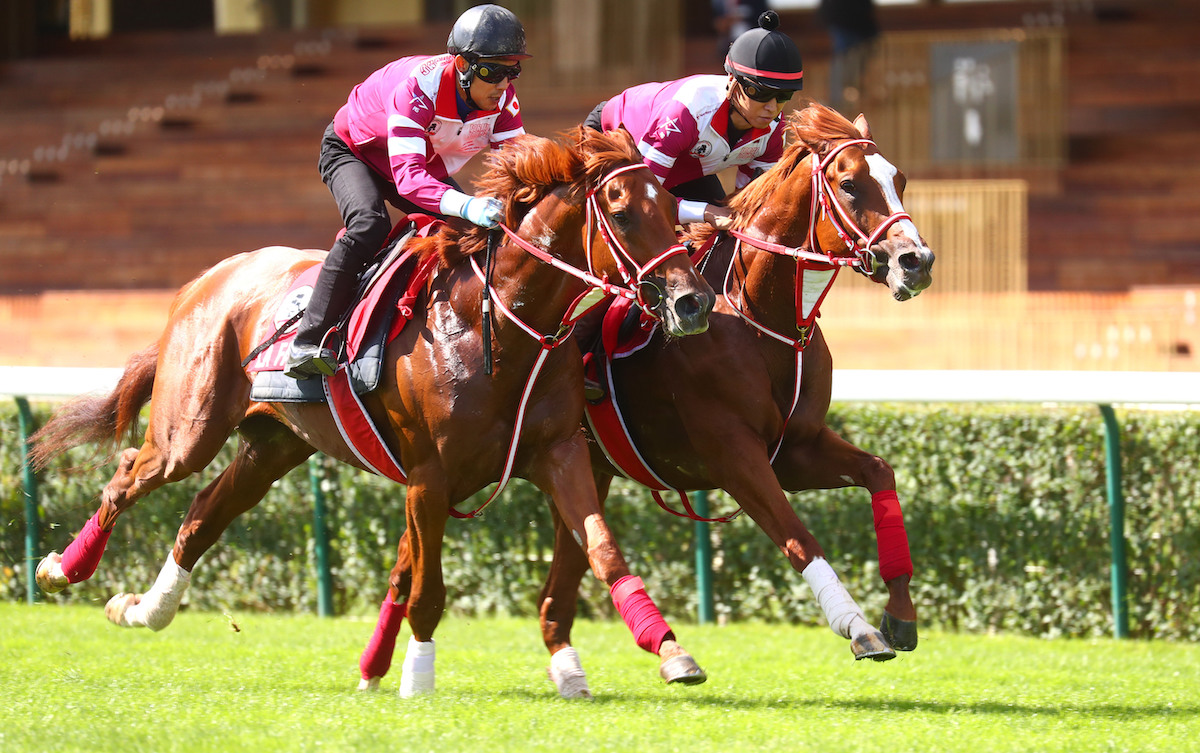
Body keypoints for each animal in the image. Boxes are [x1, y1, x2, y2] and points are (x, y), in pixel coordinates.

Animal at [32, 127, 715, 695]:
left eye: (670, 208)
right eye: (622, 213)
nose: (692, 301)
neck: (496, 327)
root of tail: (204, 280)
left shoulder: (561, 452)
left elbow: (602, 549)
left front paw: (671, 652)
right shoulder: (429, 477)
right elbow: (428, 591)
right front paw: (417, 677)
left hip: (275, 444)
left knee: (201, 515)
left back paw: (143, 609)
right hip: (189, 430)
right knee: (128, 474)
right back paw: (62, 570)